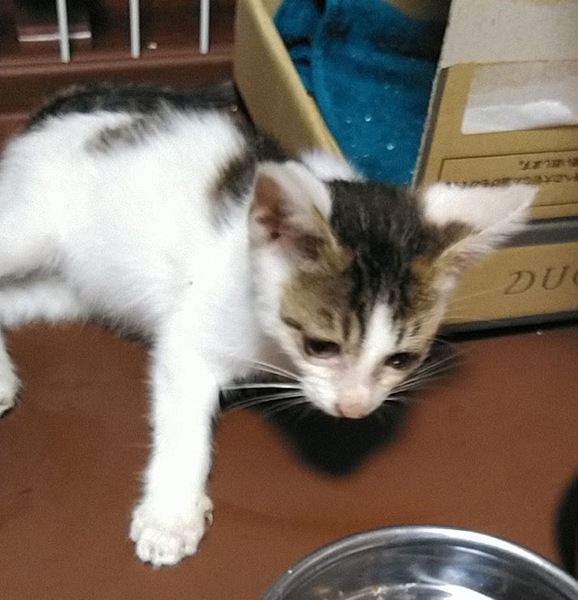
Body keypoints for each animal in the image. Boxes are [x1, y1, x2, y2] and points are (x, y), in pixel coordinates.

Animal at [0, 82, 536, 567]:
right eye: (321, 346)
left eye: (401, 359)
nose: (354, 409)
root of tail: (62, 105)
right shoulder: (188, 339)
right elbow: (184, 422)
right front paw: (171, 515)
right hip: (32, 230)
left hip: (68, 287)